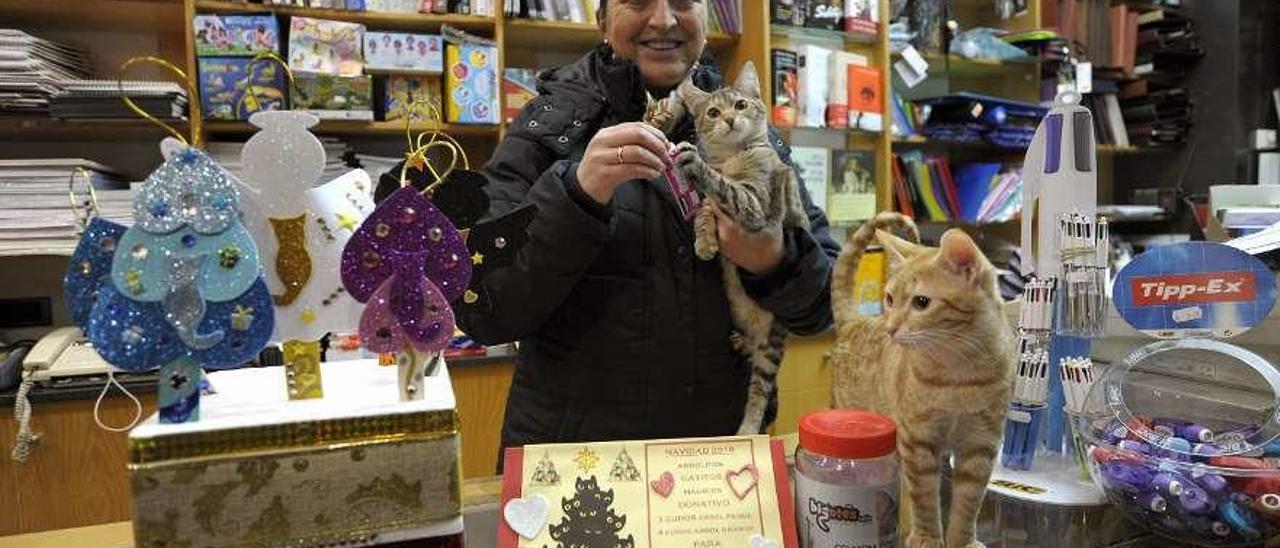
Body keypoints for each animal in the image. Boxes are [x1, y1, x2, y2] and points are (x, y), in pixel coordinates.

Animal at [650, 61, 808, 437]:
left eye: (740, 104)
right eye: (712, 112)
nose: (731, 120)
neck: (736, 157)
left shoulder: (755, 202)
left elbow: (725, 187)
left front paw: (697, 164)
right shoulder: (711, 205)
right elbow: (705, 211)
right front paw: (705, 242)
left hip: (770, 350)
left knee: (759, 392)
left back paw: (747, 430)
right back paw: (739, 341)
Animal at [829, 213, 1018, 548]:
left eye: (921, 302)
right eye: (890, 298)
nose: (890, 328)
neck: (958, 373)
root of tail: (855, 321)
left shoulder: (981, 445)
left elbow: (968, 503)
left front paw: (963, 541)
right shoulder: (917, 441)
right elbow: (926, 499)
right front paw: (927, 536)